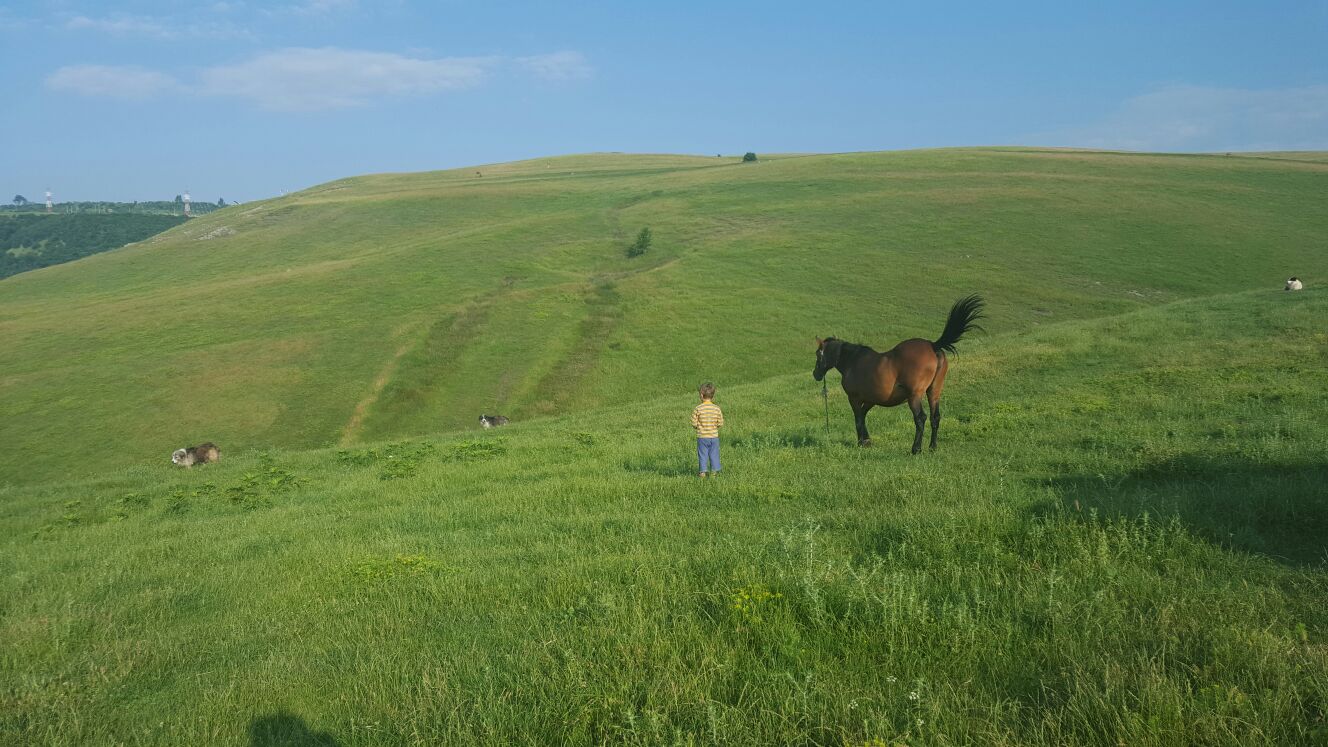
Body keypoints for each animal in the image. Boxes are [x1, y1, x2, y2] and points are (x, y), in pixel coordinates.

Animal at [807, 293, 988, 451]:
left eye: (817, 353)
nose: (816, 374)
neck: (853, 361)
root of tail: (933, 345)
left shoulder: (854, 398)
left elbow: (858, 419)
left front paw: (861, 442)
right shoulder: (871, 399)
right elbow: (864, 416)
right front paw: (867, 441)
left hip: (914, 396)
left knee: (920, 418)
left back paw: (916, 449)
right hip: (934, 392)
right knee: (935, 417)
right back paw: (932, 447)